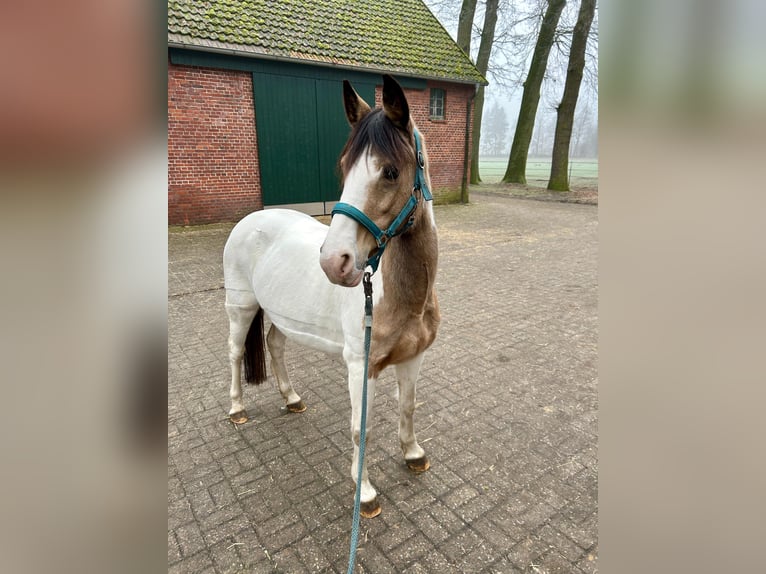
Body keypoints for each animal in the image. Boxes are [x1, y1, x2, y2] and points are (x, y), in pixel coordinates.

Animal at [224, 74, 438, 520]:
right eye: (344, 169)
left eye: (391, 171)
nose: (333, 262)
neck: (404, 297)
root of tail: (250, 219)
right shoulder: (361, 366)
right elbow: (362, 428)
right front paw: (365, 493)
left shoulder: (414, 357)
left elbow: (408, 407)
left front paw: (413, 455)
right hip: (241, 307)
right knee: (235, 352)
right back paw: (237, 409)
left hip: (281, 315)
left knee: (275, 345)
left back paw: (291, 399)